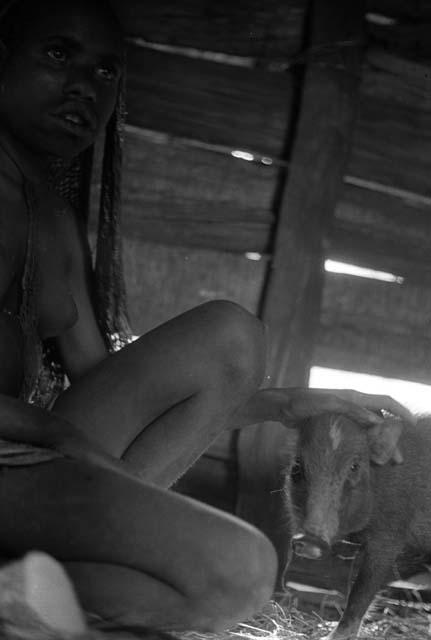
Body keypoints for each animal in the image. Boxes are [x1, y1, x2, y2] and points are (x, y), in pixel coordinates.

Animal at [282, 412, 431, 636]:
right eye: (296, 467)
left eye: (354, 467)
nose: (309, 540)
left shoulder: (390, 535)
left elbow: (362, 590)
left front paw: (329, 637)